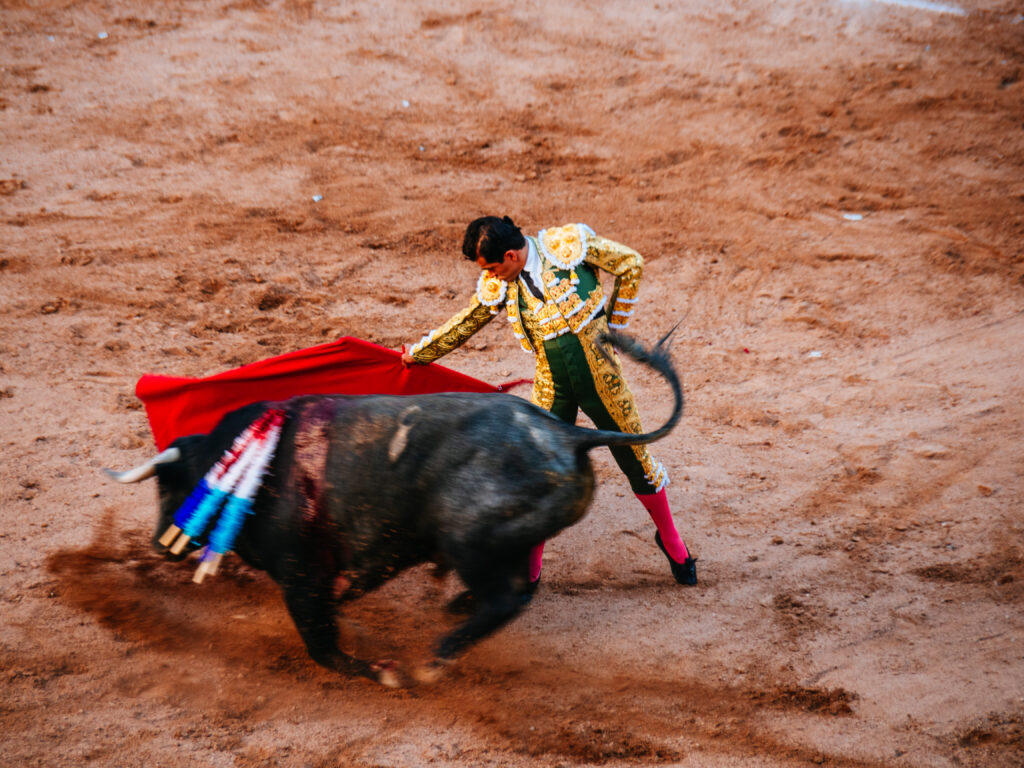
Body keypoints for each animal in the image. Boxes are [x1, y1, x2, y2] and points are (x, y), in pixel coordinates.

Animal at [105, 333, 679, 688]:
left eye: (170, 487)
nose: (159, 543)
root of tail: (569, 435)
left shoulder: (302, 575)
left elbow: (321, 645)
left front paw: (384, 672)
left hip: (469, 540)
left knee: (507, 599)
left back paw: (436, 658)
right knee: (513, 589)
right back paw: (456, 613)